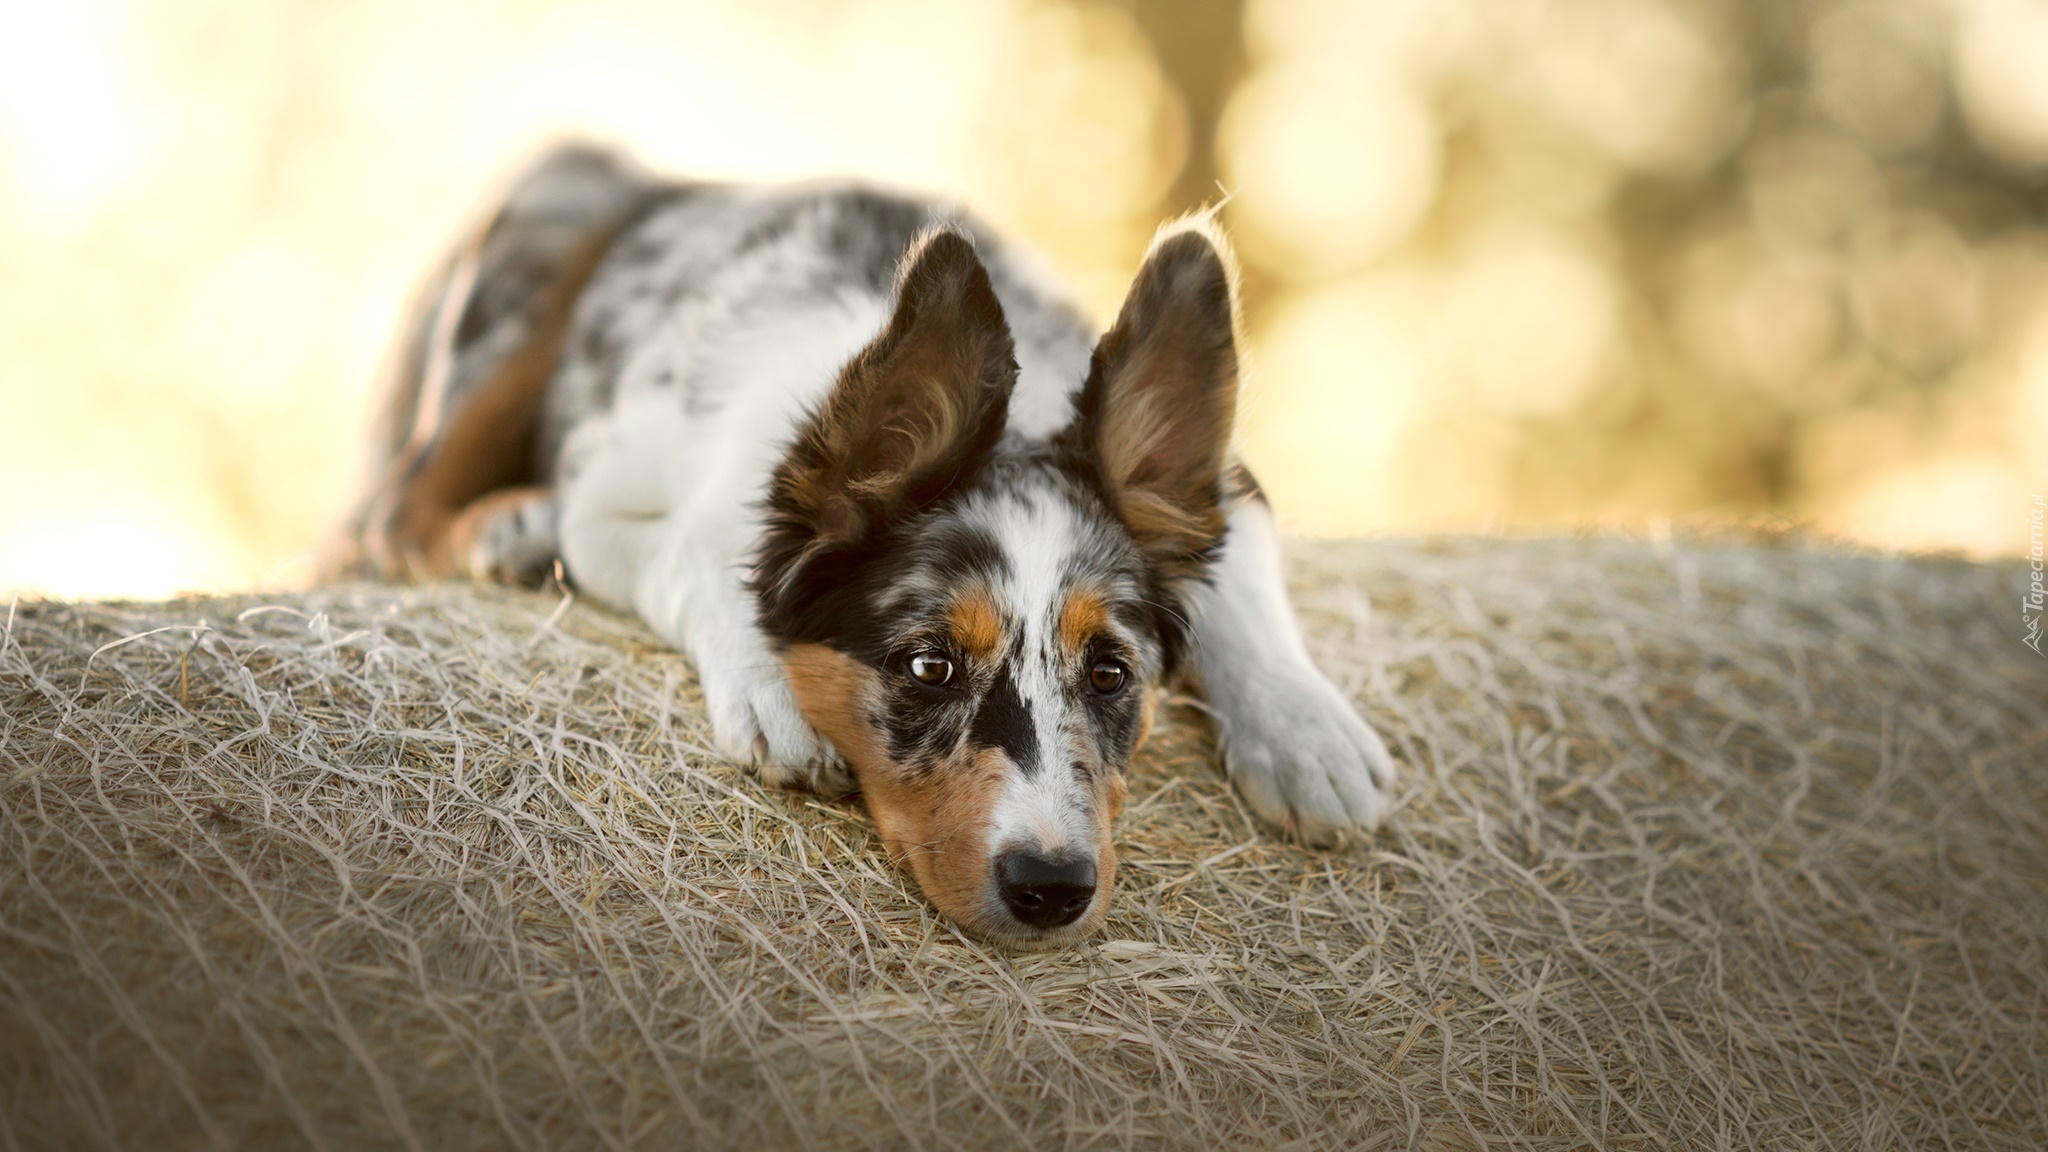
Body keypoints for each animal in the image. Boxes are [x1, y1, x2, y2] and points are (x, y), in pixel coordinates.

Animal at [335, 143, 1400, 942]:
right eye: (928, 666)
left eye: (1110, 675)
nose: (1052, 890)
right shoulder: (607, 501)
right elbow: (697, 556)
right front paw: (769, 692)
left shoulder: (1229, 492)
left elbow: (1240, 588)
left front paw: (1309, 738)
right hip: (543, 235)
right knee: (395, 507)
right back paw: (504, 527)